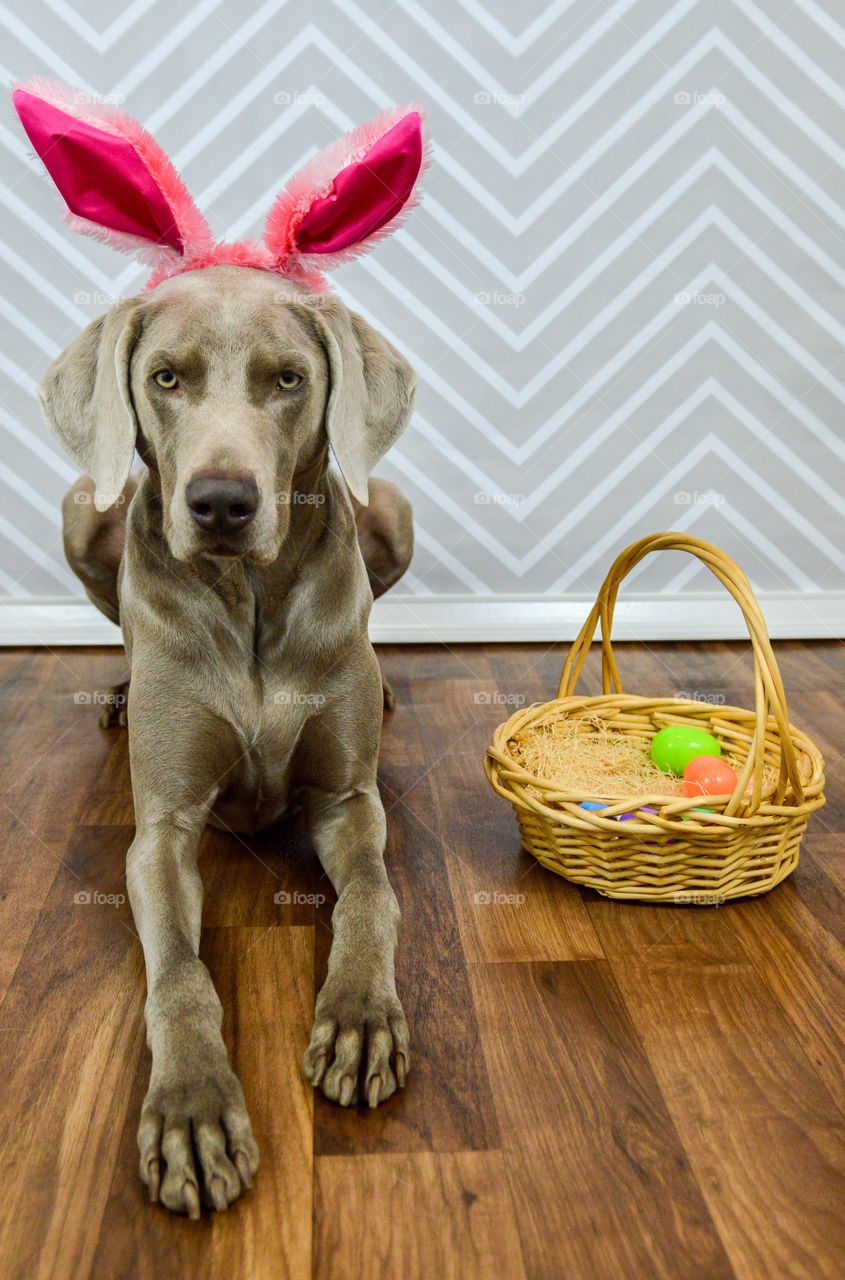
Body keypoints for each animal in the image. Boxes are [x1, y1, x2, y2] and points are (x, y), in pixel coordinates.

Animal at [18, 80, 430, 1218]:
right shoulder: (158, 830)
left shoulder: (348, 801)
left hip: (392, 503)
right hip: (82, 508)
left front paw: (359, 1017)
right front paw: (194, 1110)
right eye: (166, 377)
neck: (248, 600)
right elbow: (179, 975)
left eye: (287, 379)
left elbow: (373, 894)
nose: (219, 501)